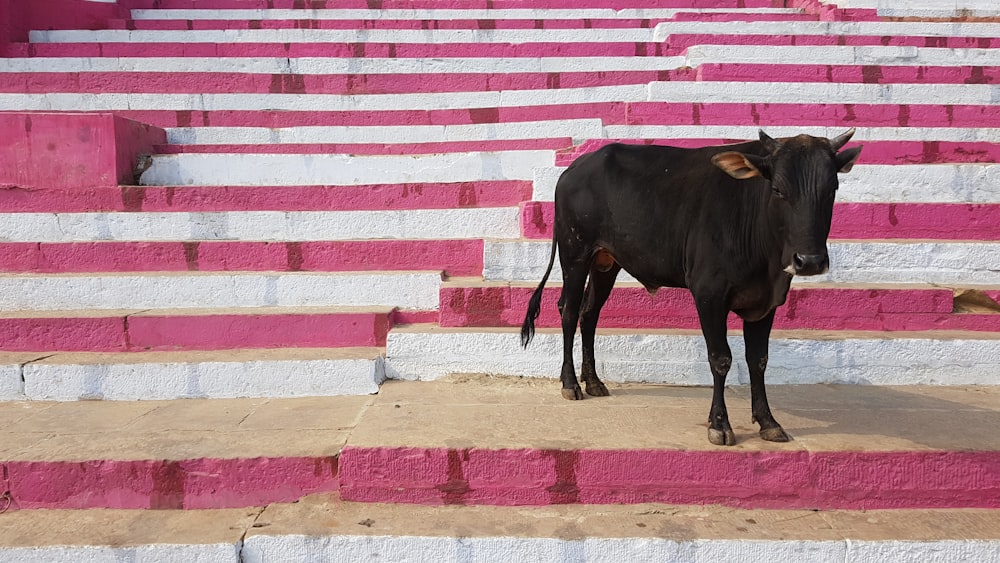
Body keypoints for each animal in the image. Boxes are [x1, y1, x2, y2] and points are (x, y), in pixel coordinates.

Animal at [524, 130, 860, 448]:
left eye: (832, 188)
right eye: (777, 189)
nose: (810, 261)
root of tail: (574, 169)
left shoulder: (765, 302)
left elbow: (759, 360)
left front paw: (768, 422)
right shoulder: (709, 293)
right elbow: (720, 358)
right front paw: (720, 425)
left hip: (606, 262)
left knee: (590, 313)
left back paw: (593, 382)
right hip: (575, 254)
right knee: (568, 310)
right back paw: (571, 384)